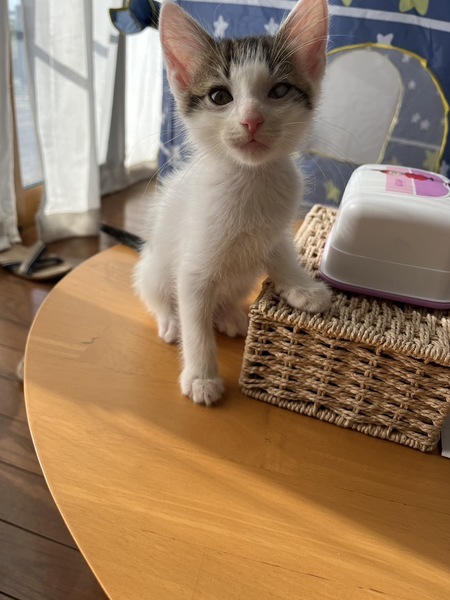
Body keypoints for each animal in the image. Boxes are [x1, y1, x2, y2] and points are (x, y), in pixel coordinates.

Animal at [134, 0, 332, 406]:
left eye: (279, 90)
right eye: (220, 97)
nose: (251, 120)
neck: (250, 180)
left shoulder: (275, 231)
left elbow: (282, 255)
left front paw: (303, 289)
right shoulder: (192, 269)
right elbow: (195, 323)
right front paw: (201, 376)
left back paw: (227, 315)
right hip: (152, 271)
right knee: (159, 297)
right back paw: (170, 322)